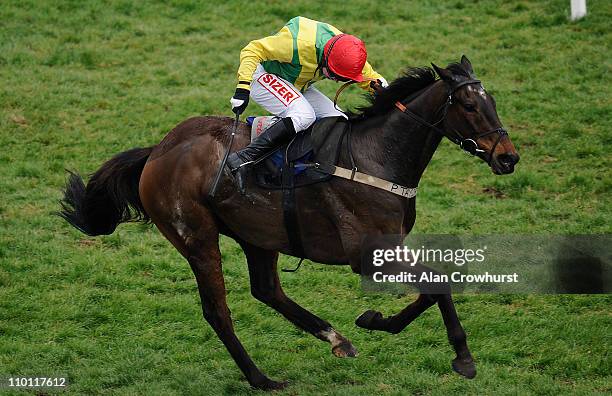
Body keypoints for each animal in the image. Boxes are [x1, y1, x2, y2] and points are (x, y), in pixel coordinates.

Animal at [57, 55, 520, 390]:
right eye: (469, 105)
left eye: (493, 102)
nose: (508, 157)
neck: (375, 157)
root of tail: (158, 151)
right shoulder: (369, 254)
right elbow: (438, 284)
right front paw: (460, 357)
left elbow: (434, 285)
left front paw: (375, 321)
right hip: (197, 238)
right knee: (217, 311)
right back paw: (261, 379)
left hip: (258, 235)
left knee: (267, 290)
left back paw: (335, 339)